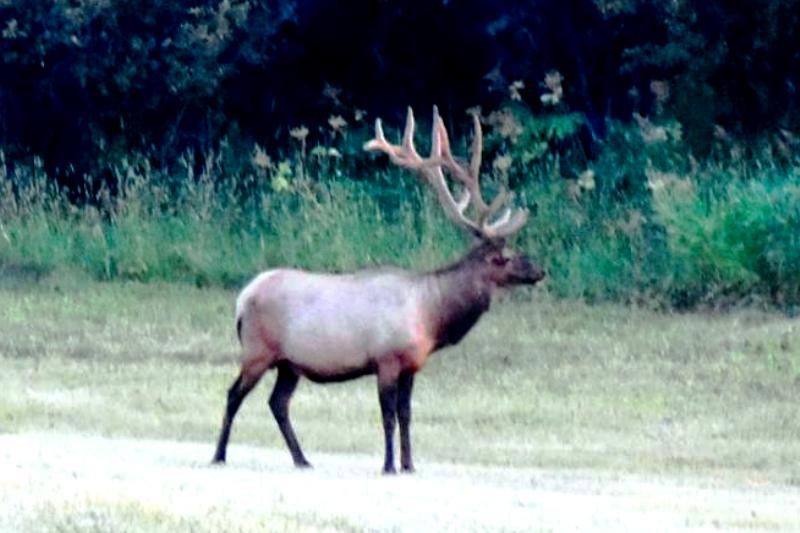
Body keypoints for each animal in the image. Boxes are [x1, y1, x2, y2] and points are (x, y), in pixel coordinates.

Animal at [212, 106, 548, 472]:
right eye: (506, 257)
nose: (540, 270)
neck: (431, 314)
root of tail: (242, 299)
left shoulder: (412, 364)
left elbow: (406, 414)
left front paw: (409, 464)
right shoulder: (386, 359)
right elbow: (387, 415)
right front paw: (389, 465)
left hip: (289, 363)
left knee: (278, 403)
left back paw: (302, 459)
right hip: (257, 351)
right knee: (233, 394)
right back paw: (219, 455)